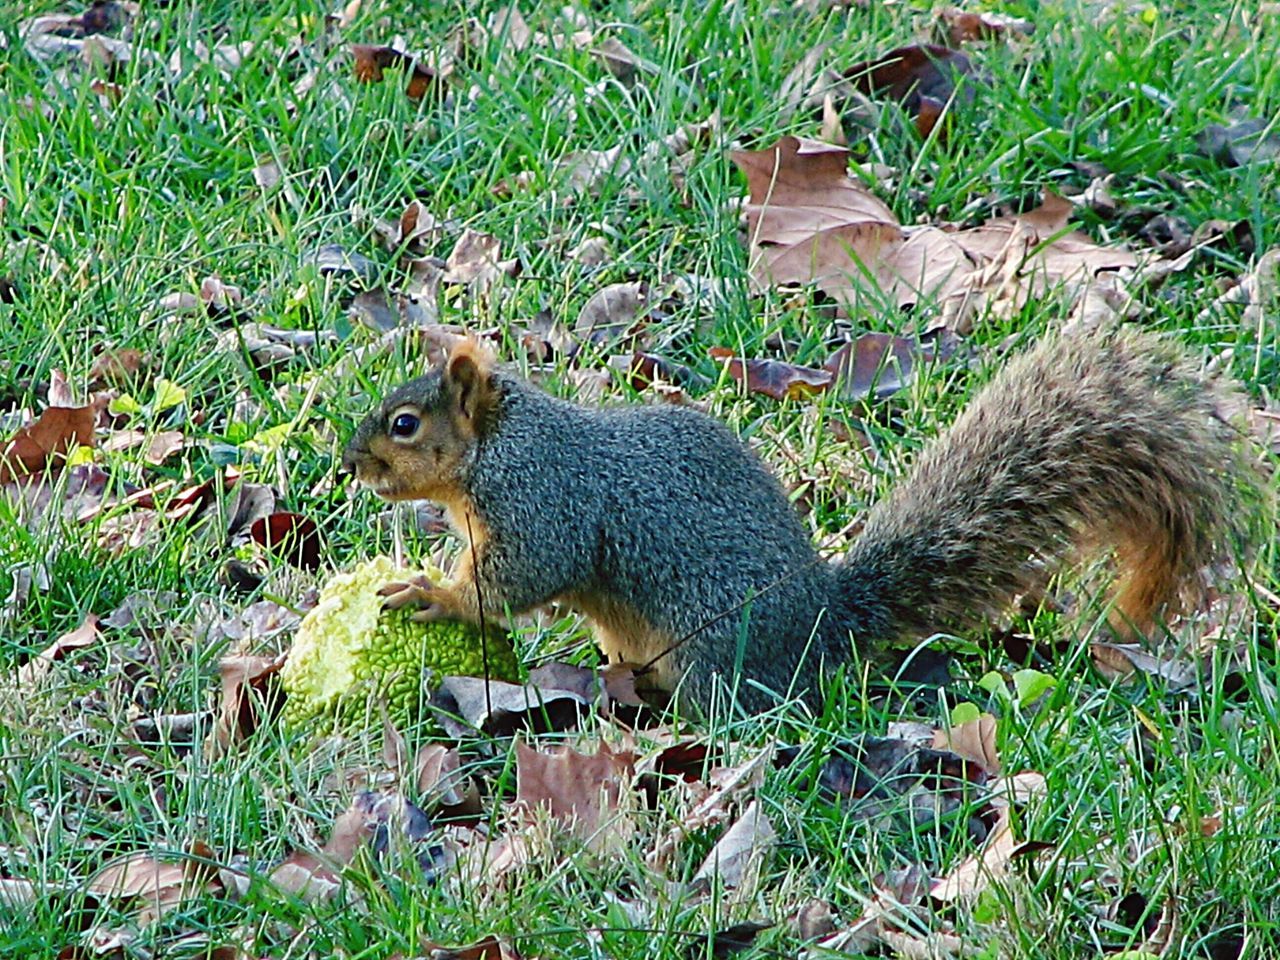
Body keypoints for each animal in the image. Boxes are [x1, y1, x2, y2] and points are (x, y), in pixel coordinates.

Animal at [340, 330, 1259, 716]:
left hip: (715, 656)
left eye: (404, 425)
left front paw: (431, 592)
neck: (498, 447)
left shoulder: (543, 499)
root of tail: (824, 622)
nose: (350, 465)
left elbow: (522, 576)